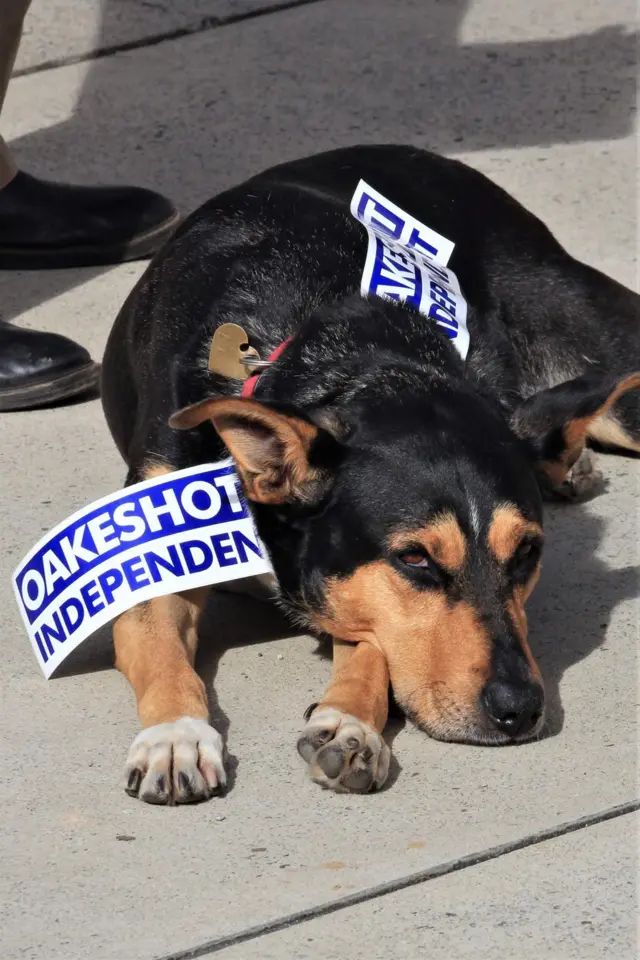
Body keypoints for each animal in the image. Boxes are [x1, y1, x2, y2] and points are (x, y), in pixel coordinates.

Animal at [101, 142, 640, 804]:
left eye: (528, 553)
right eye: (415, 559)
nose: (520, 710)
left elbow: (370, 642)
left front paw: (350, 723)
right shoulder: (148, 551)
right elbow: (158, 646)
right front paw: (175, 735)